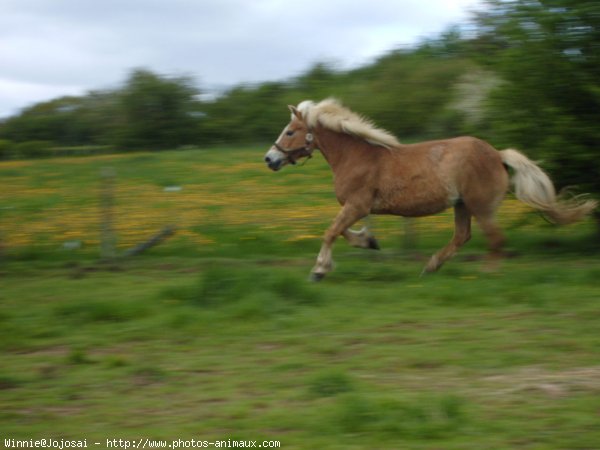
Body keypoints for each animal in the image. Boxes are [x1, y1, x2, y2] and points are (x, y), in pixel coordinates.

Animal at [264, 99, 596, 282]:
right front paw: (369, 241)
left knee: (495, 239)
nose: (270, 159)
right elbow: (342, 231)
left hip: (480, 206)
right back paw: (430, 267)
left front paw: (319, 271)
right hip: (462, 205)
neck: (358, 156)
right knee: (463, 237)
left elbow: (331, 232)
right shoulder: (357, 208)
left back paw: (487, 275)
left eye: (290, 132)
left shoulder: (357, 205)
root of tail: (498, 154)